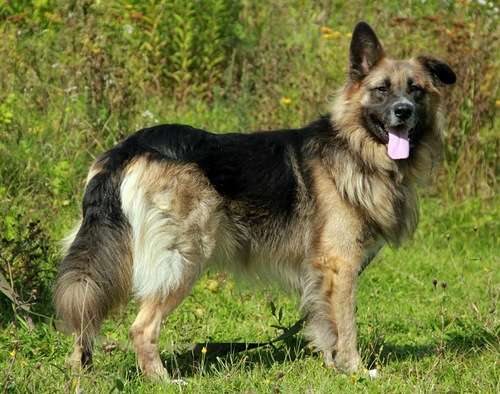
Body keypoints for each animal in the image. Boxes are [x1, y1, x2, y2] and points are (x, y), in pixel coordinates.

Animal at [52, 22, 456, 378]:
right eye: (381, 90)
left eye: (416, 90)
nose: (403, 111)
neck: (354, 148)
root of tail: (126, 150)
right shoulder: (340, 266)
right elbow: (346, 326)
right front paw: (355, 371)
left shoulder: (320, 273)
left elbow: (325, 325)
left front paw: (333, 367)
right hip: (184, 257)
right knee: (141, 327)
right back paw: (162, 379)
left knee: (85, 313)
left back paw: (82, 370)